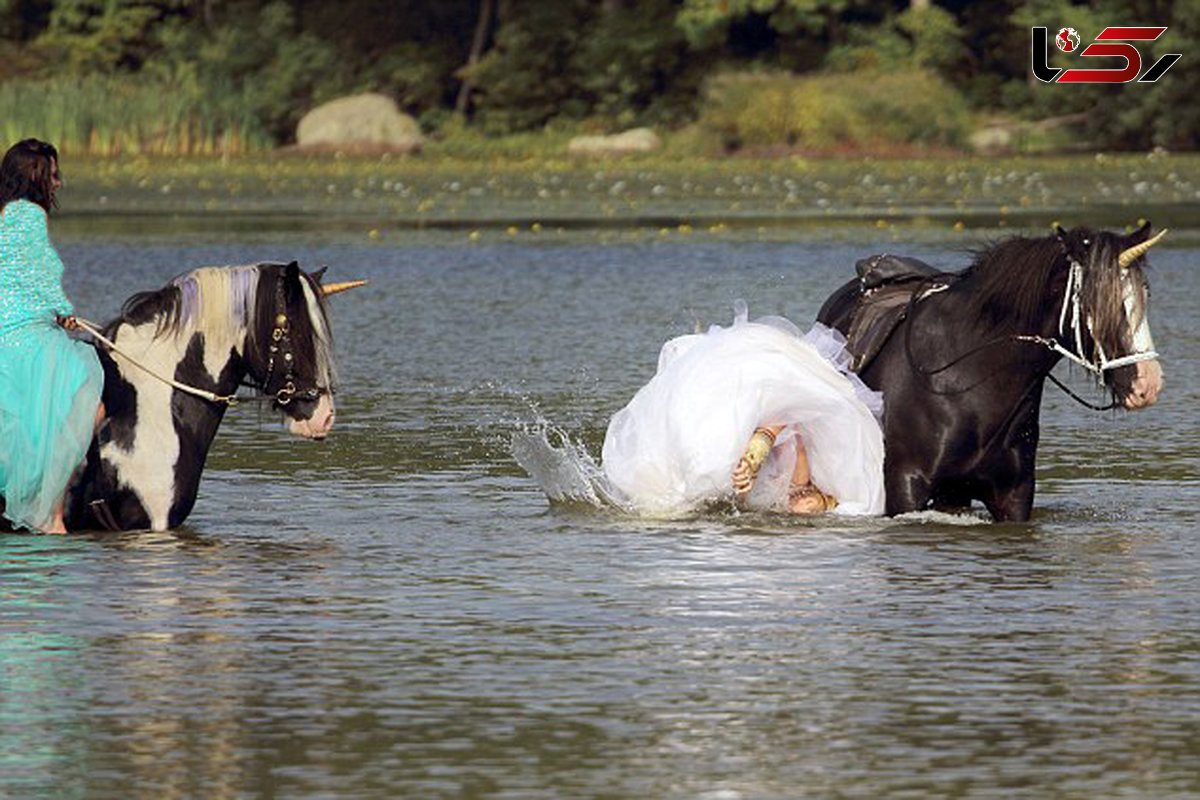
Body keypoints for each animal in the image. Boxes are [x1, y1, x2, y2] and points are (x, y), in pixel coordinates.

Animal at [820, 219, 1166, 522]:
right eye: (1097, 301)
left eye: (1145, 294)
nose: (1147, 383)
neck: (967, 379)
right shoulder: (905, 486)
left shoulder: (1013, 494)